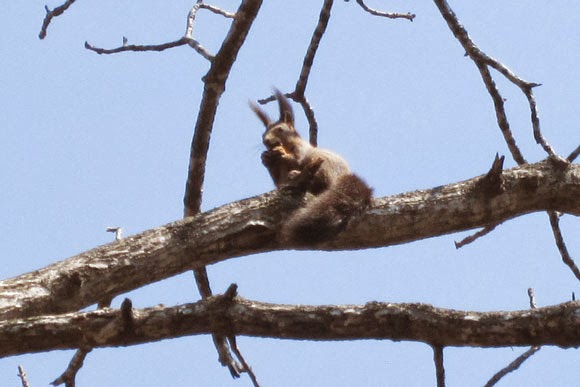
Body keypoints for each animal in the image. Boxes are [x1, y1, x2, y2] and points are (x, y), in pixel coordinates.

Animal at [249, 90, 372, 246]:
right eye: (263, 134)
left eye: (280, 129)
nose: (266, 141)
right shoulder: (280, 173)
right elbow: (279, 181)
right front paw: (265, 158)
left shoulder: (302, 150)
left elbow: (297, 158)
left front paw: (282, 155)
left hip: (324, 166)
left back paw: (297, 174)